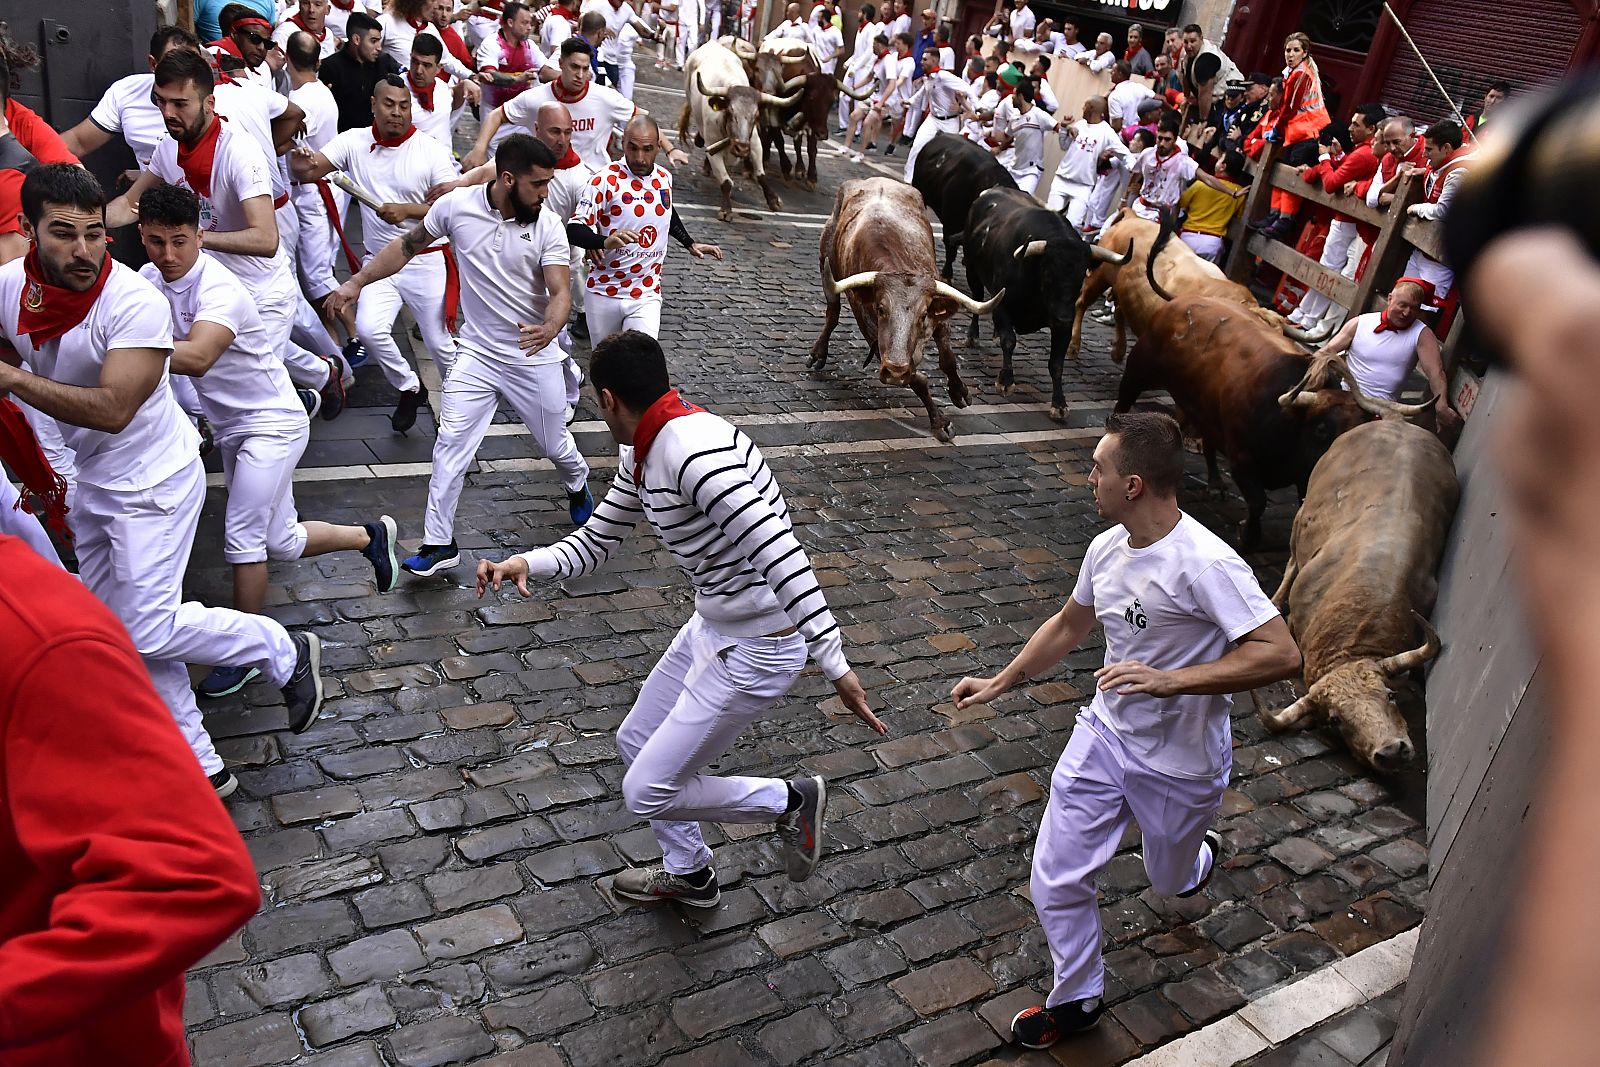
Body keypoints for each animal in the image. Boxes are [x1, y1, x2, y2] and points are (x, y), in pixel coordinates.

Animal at [812, 178, 998, 441]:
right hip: (825, 261)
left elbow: (948, 360)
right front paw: (940, 422)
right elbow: (917, 380)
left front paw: (959, 392)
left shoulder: (939, 320)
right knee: (832, 313)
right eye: (880, 309)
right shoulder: (874, 336)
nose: (896, 369)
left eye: (923, 314)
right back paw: (819, 352)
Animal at [1068, 211, 1331, 364]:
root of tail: (1133, 218)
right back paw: (1073, 346)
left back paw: (1118, 351)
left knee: (1121, 311)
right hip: (1099, 275)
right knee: (1081, 303)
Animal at [1260, 419, 1465, 777]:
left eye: (1390, 695)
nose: (1392, 751)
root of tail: (1396, 422)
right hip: (1299, 521)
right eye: (1336, 719)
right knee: (1291, 562)